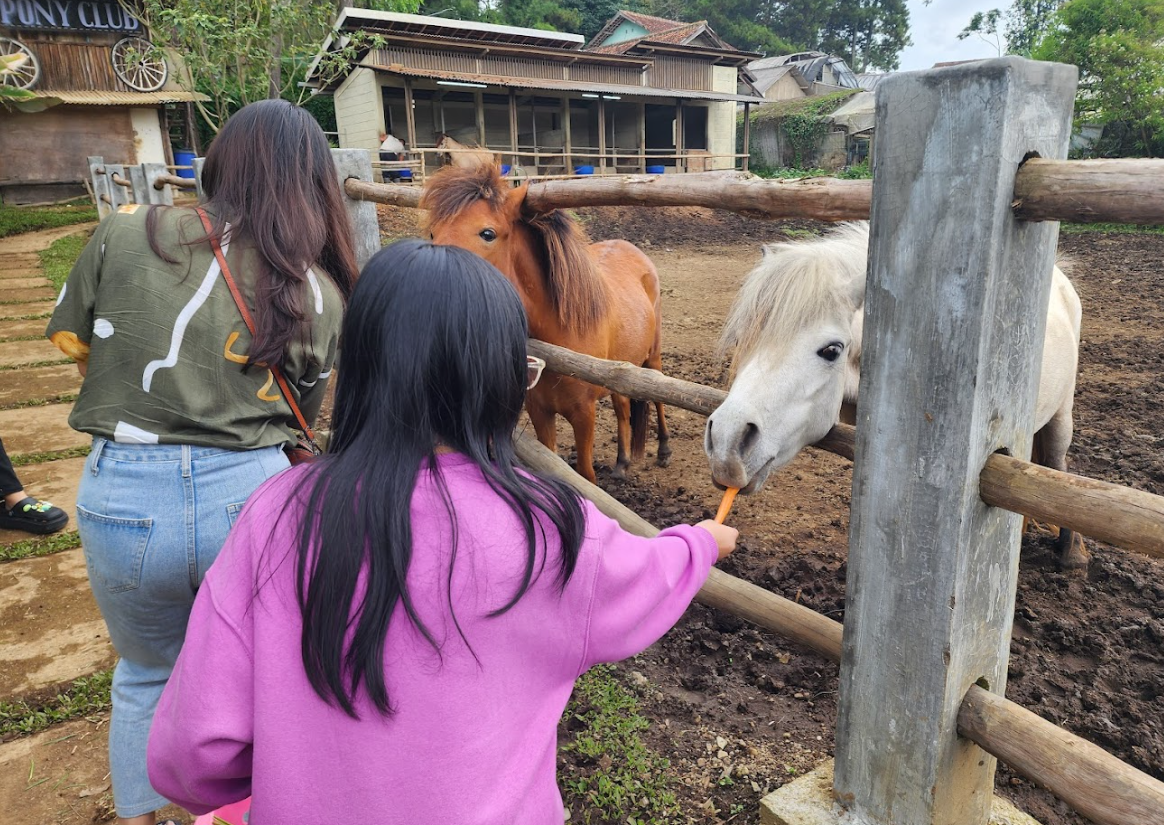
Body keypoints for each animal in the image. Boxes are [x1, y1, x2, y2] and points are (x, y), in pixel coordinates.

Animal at [423, 162, 670, 479]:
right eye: (432, 233)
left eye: (487, 233)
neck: (559, 337)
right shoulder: (540, 413)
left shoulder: (584, 415)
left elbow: (585, 474)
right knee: (622, 406)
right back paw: (622, 462)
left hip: (652, 356)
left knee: (658, 396)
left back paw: (663, 449)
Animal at [703, 222, 1084, 570]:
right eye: (743, 339)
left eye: (831, 350)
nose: (727, 444)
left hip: (1061, 416)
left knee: (1058, 466)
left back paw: (1073, 552)